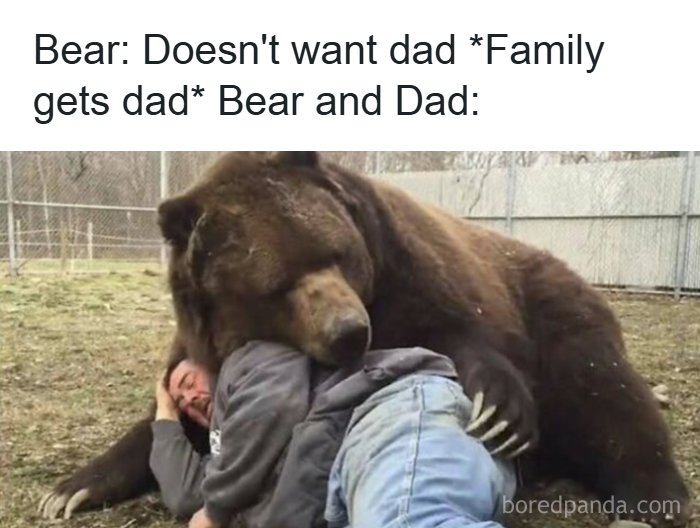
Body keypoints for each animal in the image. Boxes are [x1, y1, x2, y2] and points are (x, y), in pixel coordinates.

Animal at [41, 152, 690, 527]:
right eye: (277, 285)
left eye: (336, 253)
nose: (350, 330)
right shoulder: (207, 345)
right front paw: (70, 489)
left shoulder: (410, 276)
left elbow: (463, 340)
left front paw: (500, 412)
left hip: (556, 307)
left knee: (604, 392)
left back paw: (647, 501)